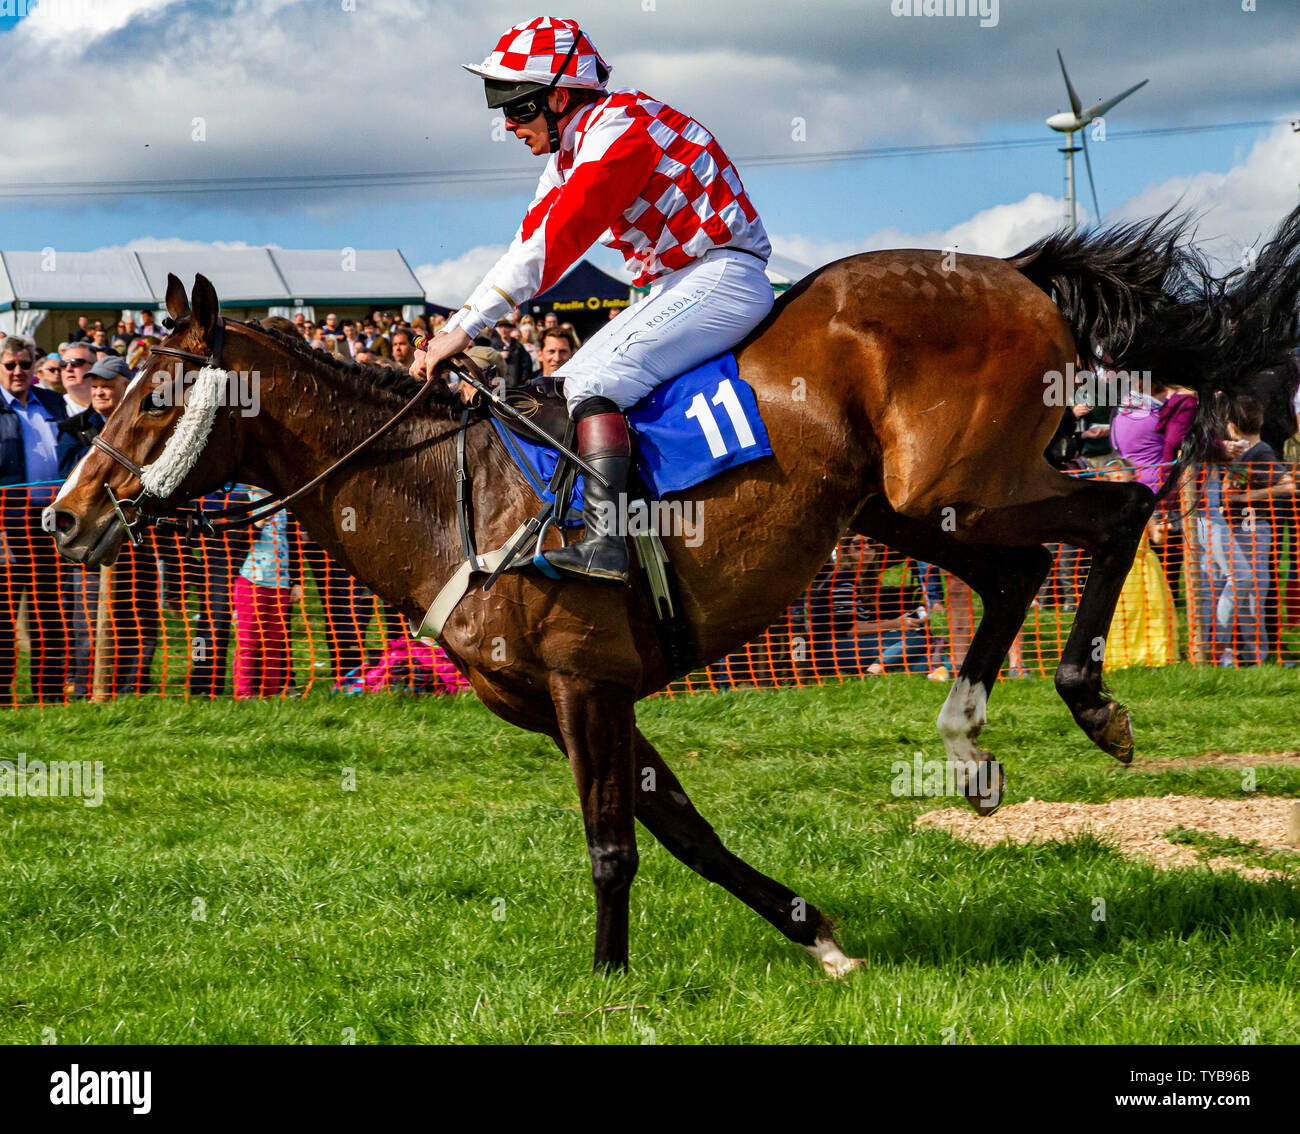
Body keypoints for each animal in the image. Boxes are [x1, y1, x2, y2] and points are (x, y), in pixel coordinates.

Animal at [40, 204, 1300, 972]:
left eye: (156, 397)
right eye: (115, 386)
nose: (62, 516)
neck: (450, 492)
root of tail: (1013, 272)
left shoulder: (586, 687)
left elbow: (616, 842)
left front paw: (608, 978)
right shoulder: (573, 704)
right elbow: (684, 829)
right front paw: (817, 934)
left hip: (954, 479)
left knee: (1115, 514)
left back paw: (1090, 699)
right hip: (905, 508)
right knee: (1026, 566)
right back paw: (967, 743)